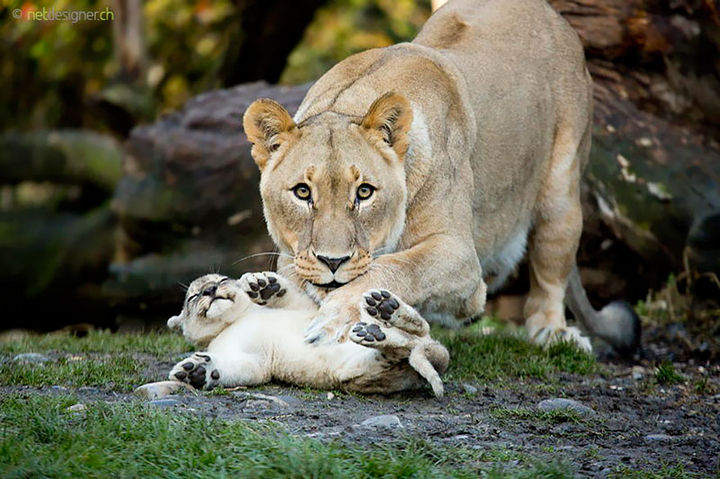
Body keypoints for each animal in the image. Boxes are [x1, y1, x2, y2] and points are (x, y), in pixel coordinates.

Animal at [165, 272, 450, 397]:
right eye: (193, 296)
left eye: (222, 280)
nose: (210, 290)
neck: (239, 319)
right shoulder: (251, 359)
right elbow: (238, 367)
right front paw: (196, 371)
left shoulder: (309, 312)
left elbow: (295, 297)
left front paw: (263, 284)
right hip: (354, 371)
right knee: (402, 349)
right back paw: (373, 333)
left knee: (421, 331)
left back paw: (384, 307)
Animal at [241, 0, 640, 354]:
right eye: (302, 192)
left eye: (365, 192)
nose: (333, 262)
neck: (347, 104)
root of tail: (552, 14)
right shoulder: (291, 254)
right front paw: (273, 293)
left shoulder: (460, 254)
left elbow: (399, 266)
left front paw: (339, 316)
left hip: (562, 190)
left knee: (549, 274)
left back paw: (552, 332)